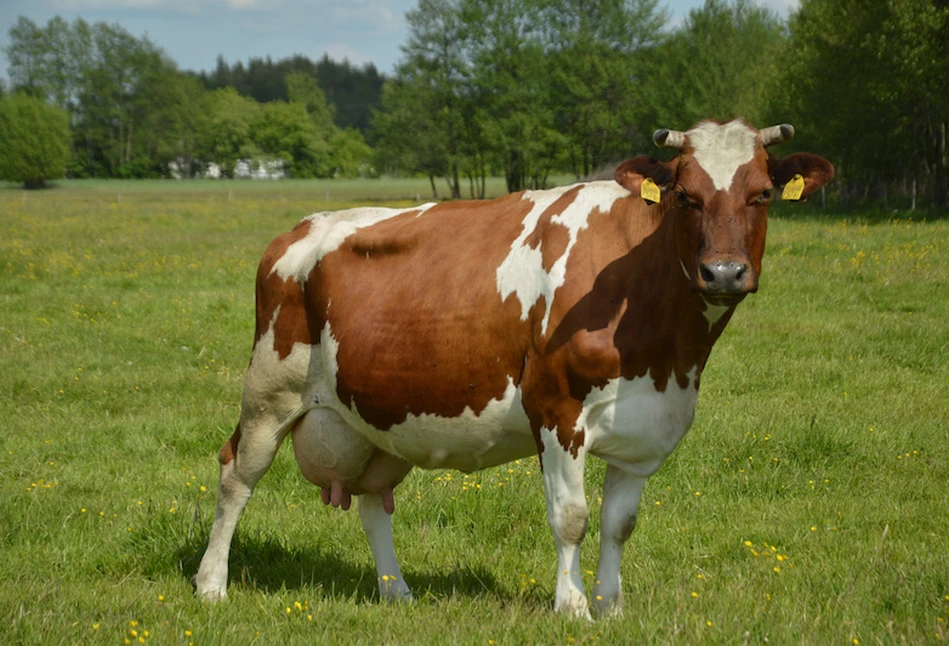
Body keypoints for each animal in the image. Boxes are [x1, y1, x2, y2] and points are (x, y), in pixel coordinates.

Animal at [191, 119, 828, 620]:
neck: (665, 351)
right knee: (236, 475)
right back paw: (212, 585)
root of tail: (302, 226)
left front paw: (611, 607)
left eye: (762, 194)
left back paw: (397, 593)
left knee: (373, 502)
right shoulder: (555, 408)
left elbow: (618, 525)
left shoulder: (646, 425)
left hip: (375, 415)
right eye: (685, 196)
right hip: (270, 390)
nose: (724, 272)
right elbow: (571, 517)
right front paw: (572, 608)